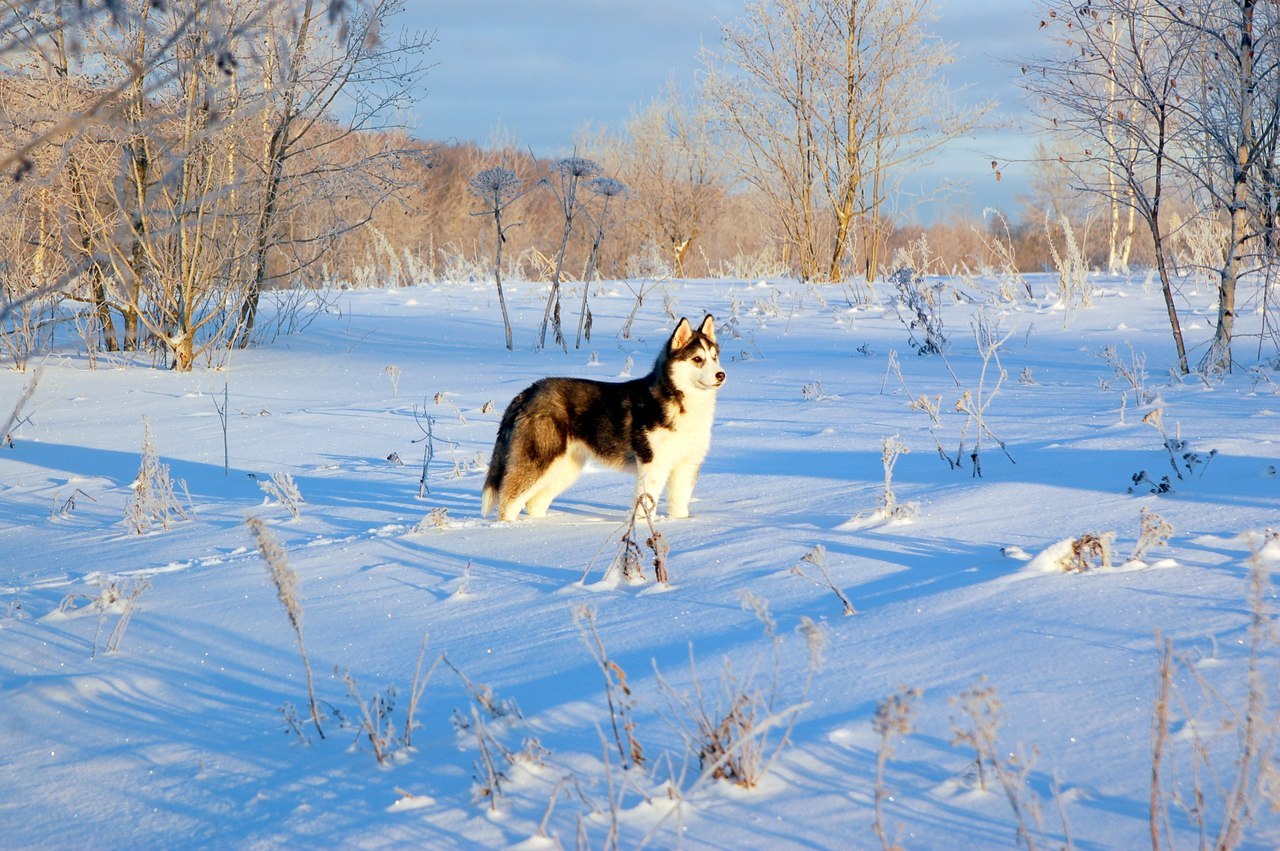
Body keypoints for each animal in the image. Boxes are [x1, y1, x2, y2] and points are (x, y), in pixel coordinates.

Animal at [481, 313, 727, 516]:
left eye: (715, 357)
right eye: (697, 359)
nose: (721, 374)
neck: (681, 403)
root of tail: (529, 390)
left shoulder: (687, 465)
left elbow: (679, 506)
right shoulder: (652, 464)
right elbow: (645, 506)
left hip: (565, 467)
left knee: (534, 503)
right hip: (539, 460)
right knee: (510, 502)